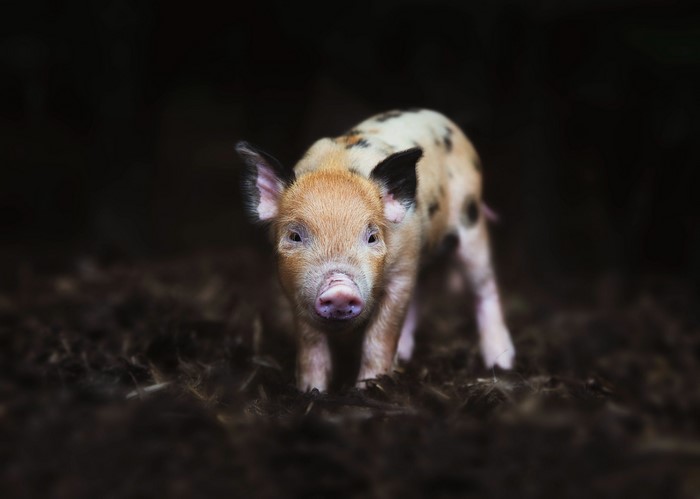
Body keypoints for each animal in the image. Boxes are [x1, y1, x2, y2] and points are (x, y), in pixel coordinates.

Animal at [236, 109, 515, 391]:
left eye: (372, 237)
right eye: (294, 236)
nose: (339, 289)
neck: (335, 167)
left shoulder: (401, 271)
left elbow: (381, 335)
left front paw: (366, 389)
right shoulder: (292, 287)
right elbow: (310, 344)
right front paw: (312, 391)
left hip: (471, 226)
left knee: (485, 287)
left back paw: (502, 361)